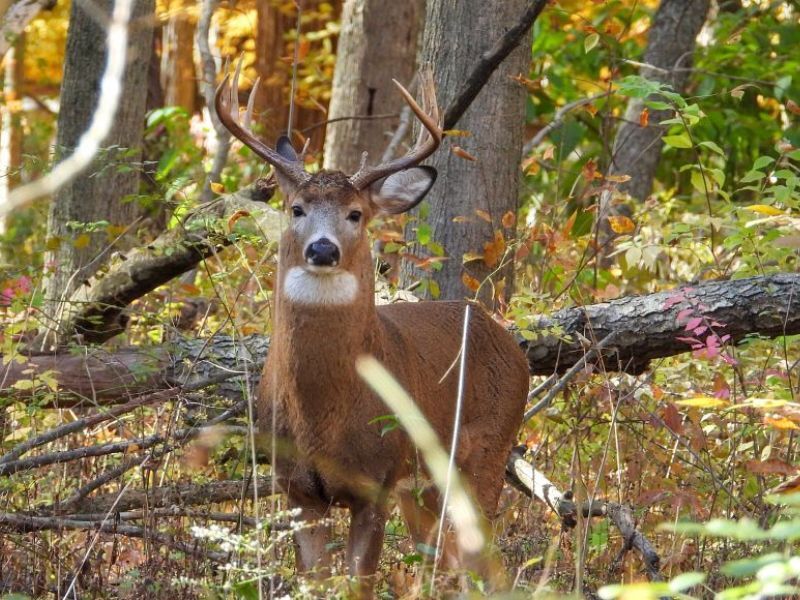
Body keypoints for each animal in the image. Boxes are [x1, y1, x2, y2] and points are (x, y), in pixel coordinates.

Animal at [215, 68, 530, 594]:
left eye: (356, 213)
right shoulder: (298, 491)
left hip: (487, 451)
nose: (323, 249)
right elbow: (315, 583)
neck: (323, 416)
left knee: (482, 565)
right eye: (297, 208)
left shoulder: (376, 482)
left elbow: (358, 585)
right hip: (423, 488)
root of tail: (508, 338)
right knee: (443, 563)